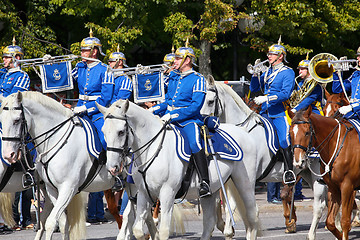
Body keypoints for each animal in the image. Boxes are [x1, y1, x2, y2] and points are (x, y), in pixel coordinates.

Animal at [0, 91, 115, 239]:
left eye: (16, 120)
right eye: (1, 121)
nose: (8, 155)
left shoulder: (68, 188)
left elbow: (52, 222)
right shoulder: (53, 189)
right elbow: (60, 222)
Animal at [97, 99, 258, 240]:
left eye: (120, 132)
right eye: (103, 131)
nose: (112, 167)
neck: (153, 148)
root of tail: (243, 131)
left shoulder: (167, 193)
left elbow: (163, 231)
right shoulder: (143, 193)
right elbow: (138, 229)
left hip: (244, 183)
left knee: (252, 215)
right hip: (211, 190)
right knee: (209, 222)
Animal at [201, 79, 328, 240]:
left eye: (210, 101)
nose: (200, 122)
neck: (242, 132)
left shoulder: (246, 178)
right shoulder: (231, 179)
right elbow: (228, 203)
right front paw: (228, 230)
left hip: (316, 175)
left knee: (319, 205)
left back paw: (312, 233)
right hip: (306, 174)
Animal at [288, 107, 360, 240]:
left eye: (307, 132)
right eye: (290, 133)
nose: (298, 162)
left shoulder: (347, 187)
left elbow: (345, 221)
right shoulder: (333, 188)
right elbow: (330, 222)